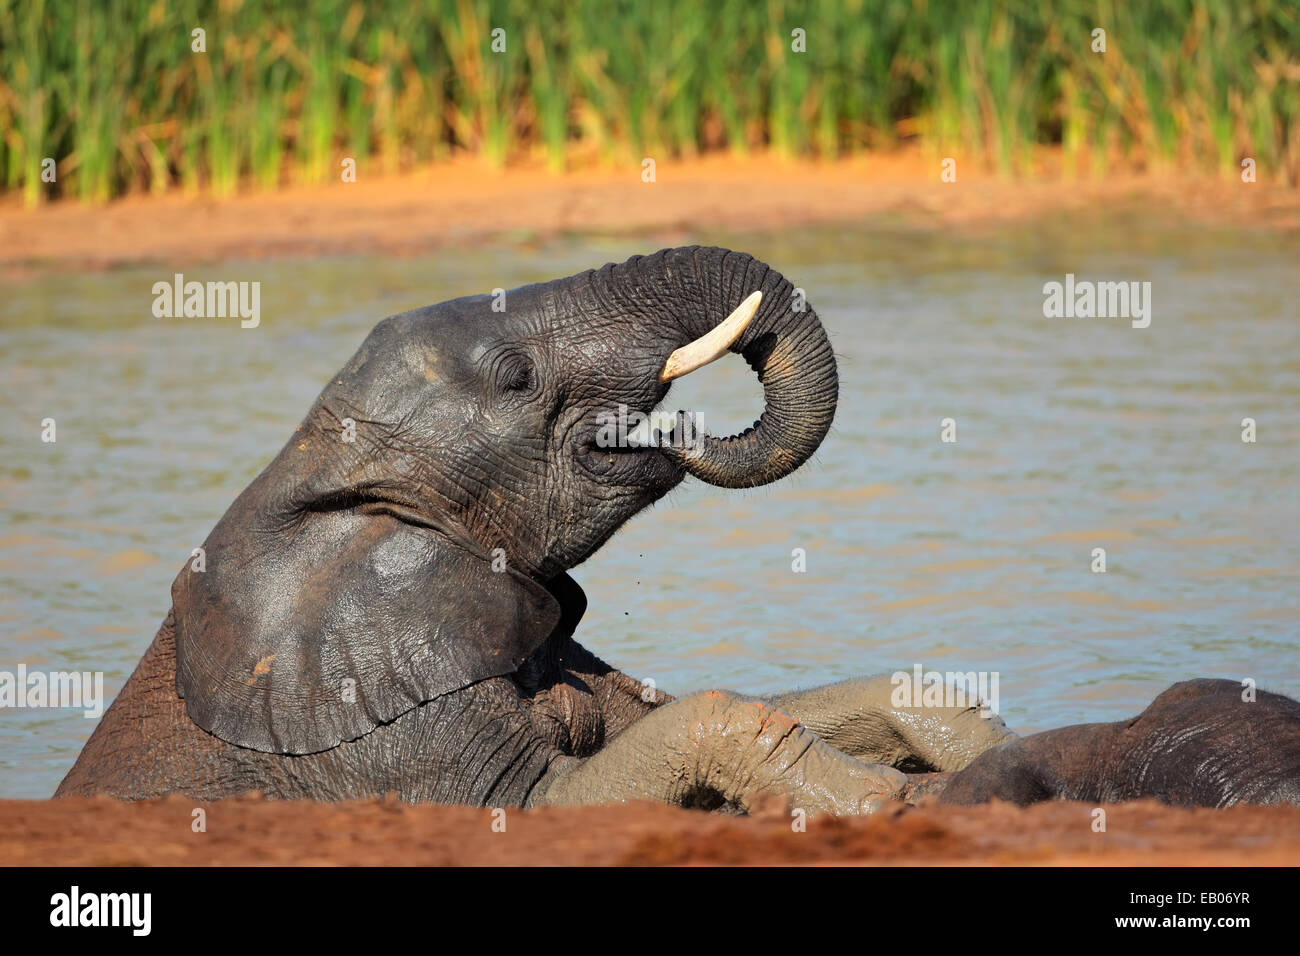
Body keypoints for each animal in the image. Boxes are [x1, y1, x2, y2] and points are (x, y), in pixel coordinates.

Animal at [53, 248, 1003, 816]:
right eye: (515, 378)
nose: (686, 431)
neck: (317, 478)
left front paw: (975, 752)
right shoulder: (379, 739)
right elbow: (569, 796)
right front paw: (882, 801)